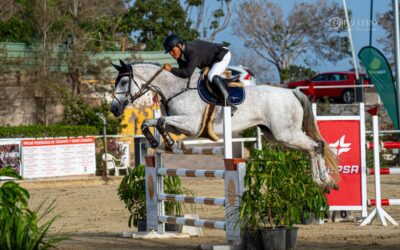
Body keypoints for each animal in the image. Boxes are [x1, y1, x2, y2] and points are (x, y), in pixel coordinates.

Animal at [111, 60, 340, 191]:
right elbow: (149, 122)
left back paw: (324, 181)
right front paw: (159, 142)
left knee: (317, 146)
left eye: (123, 82)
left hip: (286, 134)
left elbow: (159, 121)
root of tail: (292, 92)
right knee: (311, 149)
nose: (114, 108)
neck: (175, 88)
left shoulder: (191, 124)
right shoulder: (179, 124)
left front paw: (169, 143)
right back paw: (320, 182)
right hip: (278, 136)